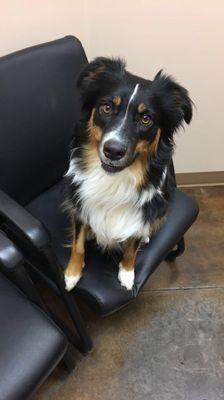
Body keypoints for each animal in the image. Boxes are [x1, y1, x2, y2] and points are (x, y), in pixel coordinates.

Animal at [63, 57, 192, 290]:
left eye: (146, 119)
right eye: (106, 107)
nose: (113, 151)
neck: (114, 179)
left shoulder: (146, 210)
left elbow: (132, 246)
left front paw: (127, 273)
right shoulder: (78, 202)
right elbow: (77, 243)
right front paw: (72, 274)